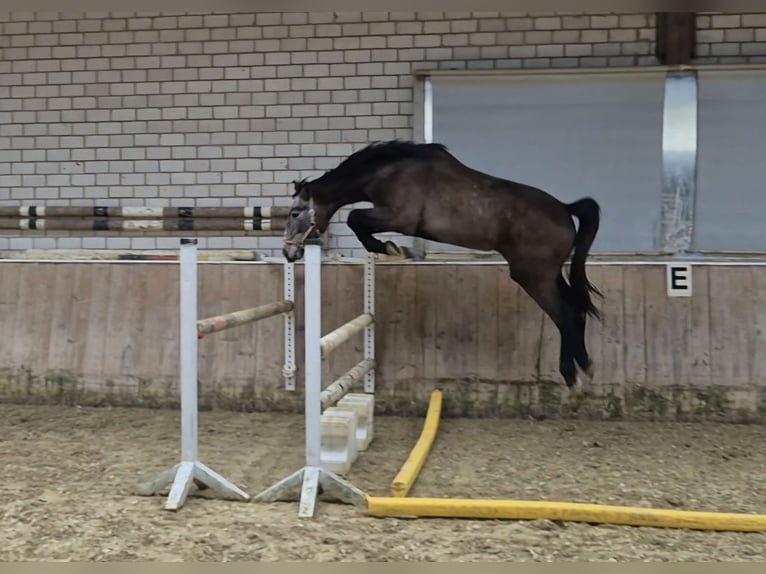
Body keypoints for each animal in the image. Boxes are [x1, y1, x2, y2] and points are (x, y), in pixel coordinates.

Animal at [282, 140, 602, 390]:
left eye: (296, 212)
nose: (288, 253)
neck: (390, 172)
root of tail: (565, 209)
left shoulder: (399, 217)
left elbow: (355, 219)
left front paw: (391, 248)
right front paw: (394, 249)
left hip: (533, 277)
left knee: (565, 317)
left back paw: (572, 376)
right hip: (551, 274)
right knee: (576, 311)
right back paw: (586, 365)